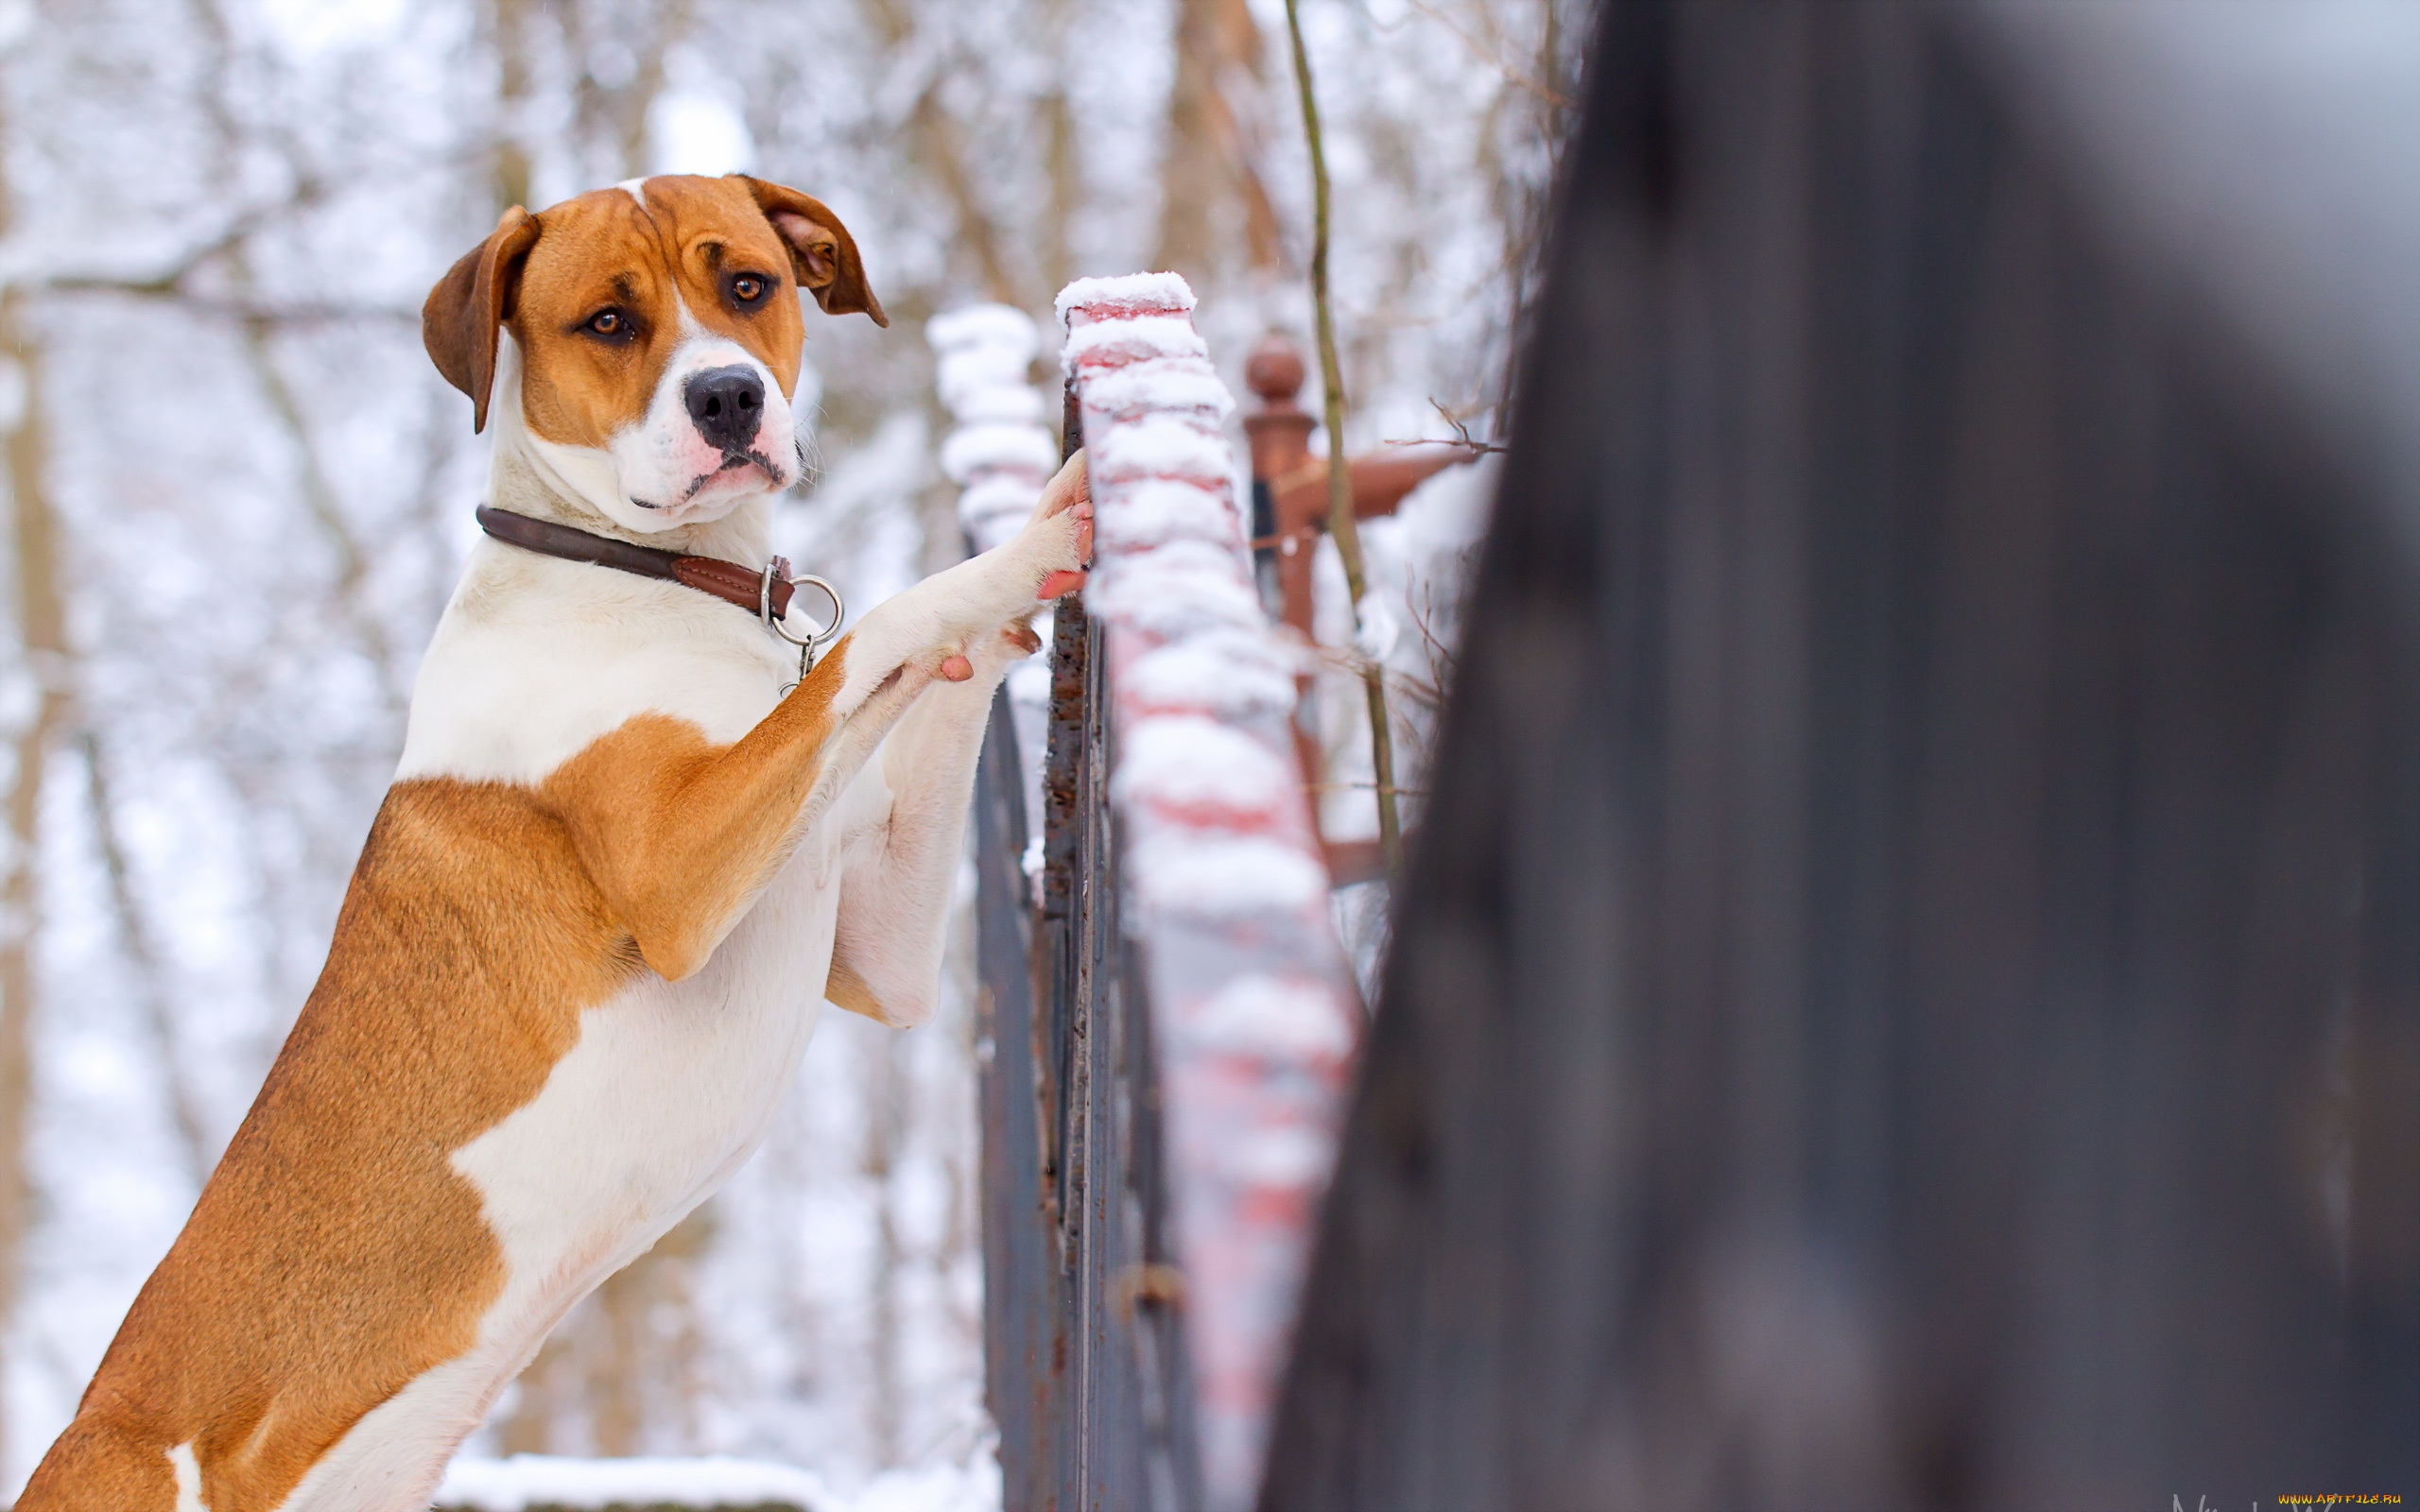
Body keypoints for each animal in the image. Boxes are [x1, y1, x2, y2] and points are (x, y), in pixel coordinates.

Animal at [16, 170, 1098, 1500]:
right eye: (608, 322)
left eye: (749, 285)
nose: (729, 396)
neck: (642, 570)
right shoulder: (683, 875)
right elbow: (877, 630)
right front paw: (1029, 550)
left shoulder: (882, 947)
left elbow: (913, 686)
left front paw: (1040, 531)